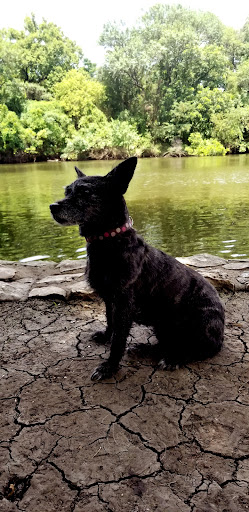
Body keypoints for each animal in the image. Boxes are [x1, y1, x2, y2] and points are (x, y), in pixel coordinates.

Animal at [49, 159, 225, 380]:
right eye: (67, 191)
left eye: (85, 192)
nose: (52, 207)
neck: (109, 240)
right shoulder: (109, 300)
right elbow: (110, 322)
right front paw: (106, 336)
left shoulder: (124, 304)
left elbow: (119, 340)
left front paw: (109, 367)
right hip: (162, 326)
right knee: (168, 343)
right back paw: (145, 349)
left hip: (197, 324)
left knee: (197, 349)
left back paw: (173, 359)